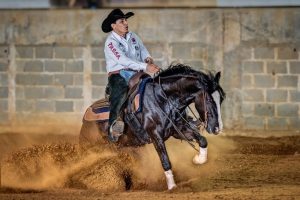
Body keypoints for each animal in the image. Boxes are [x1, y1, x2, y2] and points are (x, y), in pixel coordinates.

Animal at [79, 64, 225, 191]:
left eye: (221, 99)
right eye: (209, 100)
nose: (217, 128)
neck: (163, 99)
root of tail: (86, 115)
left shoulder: (178, 130)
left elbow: (202, 140)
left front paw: (199, 159)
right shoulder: (155, 135)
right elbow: (165, 160)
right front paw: (172, 187)